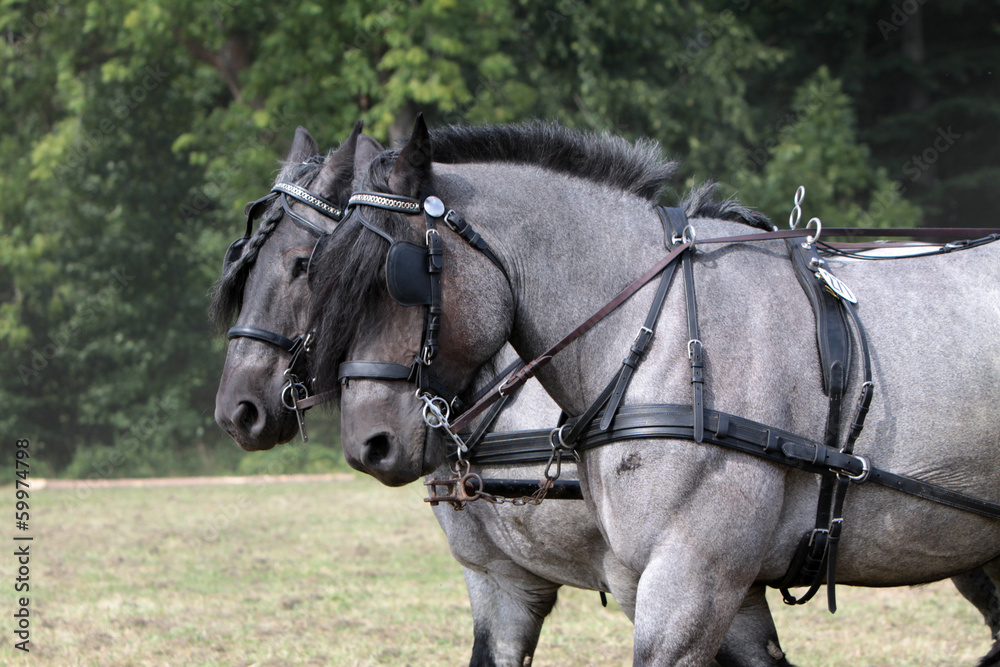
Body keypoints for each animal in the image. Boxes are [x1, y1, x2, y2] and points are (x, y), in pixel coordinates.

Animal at [302, 117, 1000, 664]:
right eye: (321, 276)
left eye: (399, 276)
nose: (368, 444)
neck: (656, 334)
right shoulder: (690, 588)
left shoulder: (692, 580)